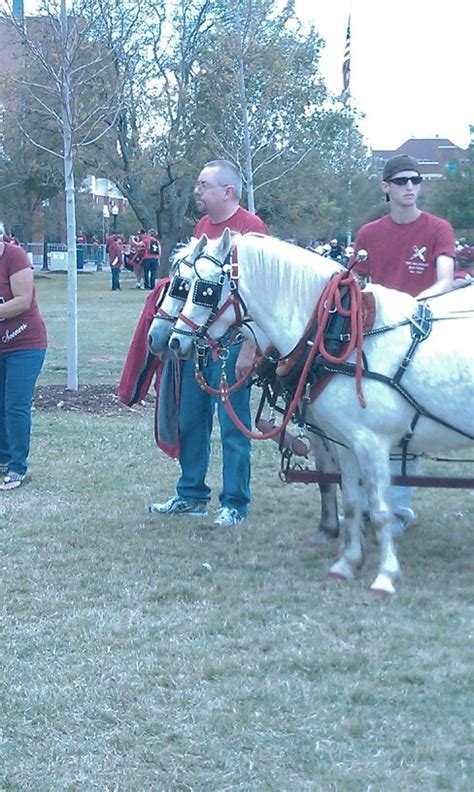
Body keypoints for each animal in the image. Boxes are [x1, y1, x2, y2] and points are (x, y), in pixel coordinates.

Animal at [168, 229, 474, 592]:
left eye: (204, 289)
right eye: (182, 284)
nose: (173, 341)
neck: (339, 335)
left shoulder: (372, 443)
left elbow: (380, 508)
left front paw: (385, 576)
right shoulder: (346, 441)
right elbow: (351, 499)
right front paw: (347, 562)